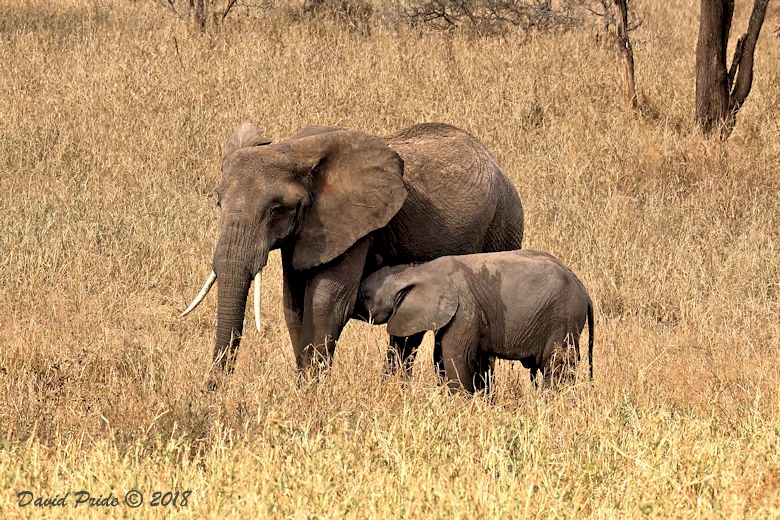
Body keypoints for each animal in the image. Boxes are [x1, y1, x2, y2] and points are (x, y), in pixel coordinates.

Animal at [183, 121, 524, 382]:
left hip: (503, 225)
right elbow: (294, 305)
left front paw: (312, 396)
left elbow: (326, 304)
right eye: (219, 202)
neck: (293, 150)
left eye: (277, 209)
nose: (213, 391)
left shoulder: (355, 226)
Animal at [356, 250, 596, 392]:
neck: (418, 269)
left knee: (556, 366)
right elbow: (439, 357)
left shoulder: (464, 311)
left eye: (364, 295)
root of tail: (584, 290)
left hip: (563, 317)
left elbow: (455, 358)